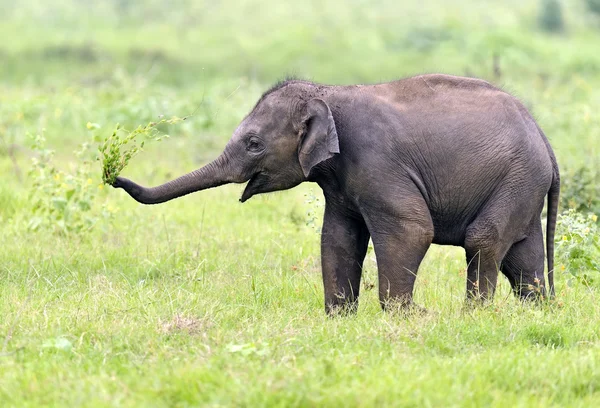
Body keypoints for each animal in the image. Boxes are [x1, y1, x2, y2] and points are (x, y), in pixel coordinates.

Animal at [111, 74, 556, 316]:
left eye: (253, 144)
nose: (114, 177)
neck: (328, 92)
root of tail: (545, 138)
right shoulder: (340, 181)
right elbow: (338, 238)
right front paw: (339, 320)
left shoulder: (377, 161)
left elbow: (412, 230)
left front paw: (409, 318)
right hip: (522, 184)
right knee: (523, 257)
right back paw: (538, 313)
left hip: (517, 177)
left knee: (483, 239)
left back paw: (471, 316)